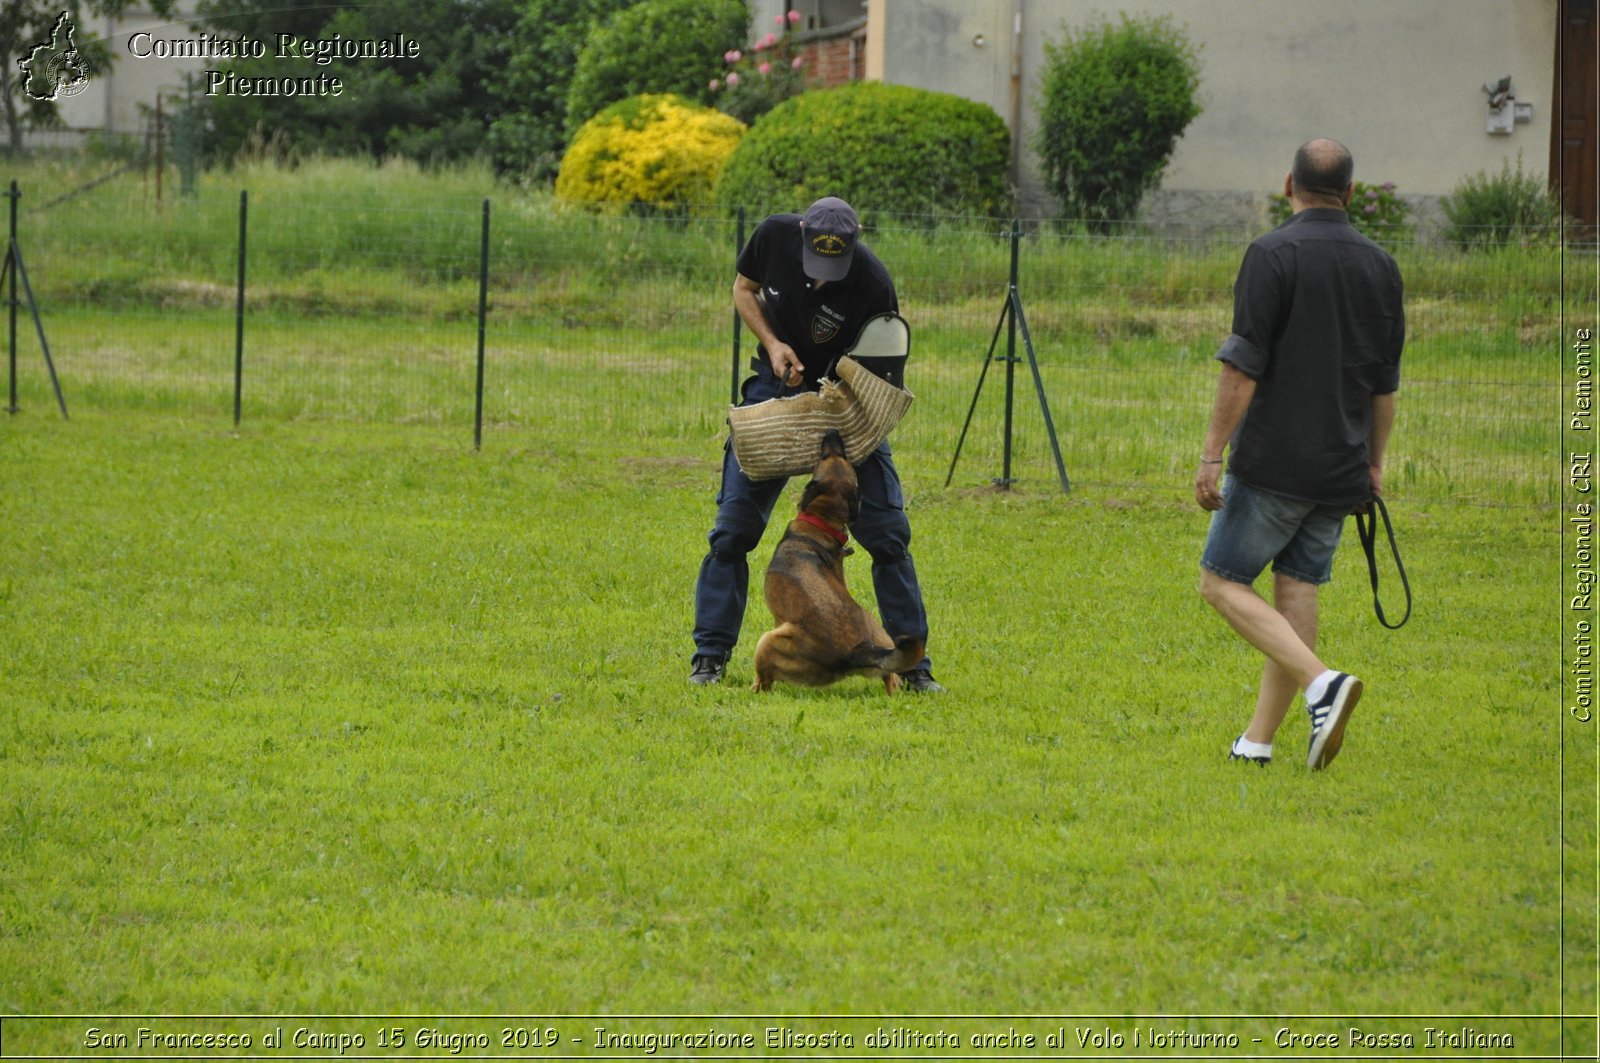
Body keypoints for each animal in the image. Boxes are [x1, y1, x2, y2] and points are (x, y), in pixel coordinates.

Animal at [752, 429, 928, 694]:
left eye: (827, 457)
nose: (832, 432)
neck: (821, 522)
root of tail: (857, 650)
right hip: (881, 634)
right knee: (891, 676)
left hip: (768, 641)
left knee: (763, 682)